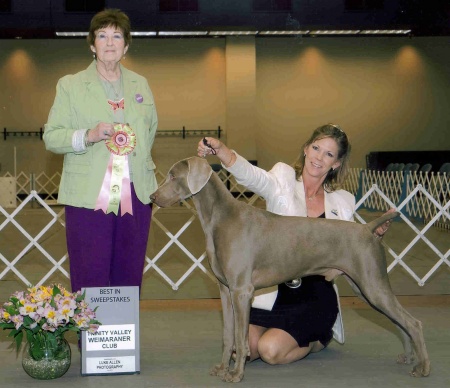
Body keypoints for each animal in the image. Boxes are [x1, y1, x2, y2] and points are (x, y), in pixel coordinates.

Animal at [150, 157, 428, 382]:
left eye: (173, 176)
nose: (152, 198)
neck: (220, 219)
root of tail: (369, 228)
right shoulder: (225, 290)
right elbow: (228, 335)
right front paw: (222, 368)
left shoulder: (241, 291)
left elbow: (240, 337)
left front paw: (236, 374)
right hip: (365, 287)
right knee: (399, 322)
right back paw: (409, 357)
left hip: (372, 284)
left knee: (413, 323)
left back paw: (422, 367)